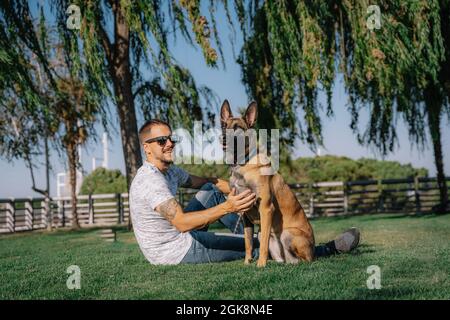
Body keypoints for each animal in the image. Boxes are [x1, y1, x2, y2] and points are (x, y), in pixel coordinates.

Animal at [220, 100, 314, 268]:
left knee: (305, 260)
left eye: (238, 128)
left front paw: (261, 264)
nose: (223, 138)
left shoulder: (266, 208)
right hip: (266, 236)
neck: (242, 164)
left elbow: (262, 244)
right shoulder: (245, 213)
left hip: (288, 233)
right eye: (224, 126)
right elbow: (248, 243)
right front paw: (247, 262)